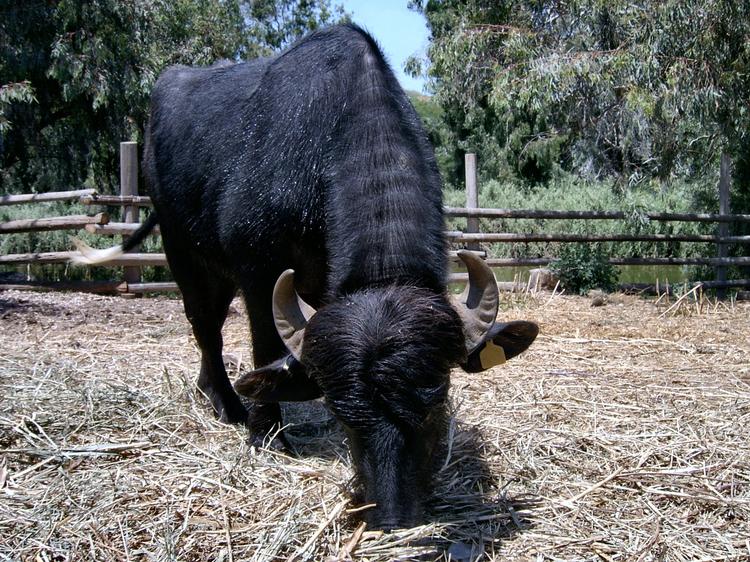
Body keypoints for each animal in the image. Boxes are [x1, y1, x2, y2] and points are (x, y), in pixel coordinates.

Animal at [73, 24, 536, 528]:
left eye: (436, 400)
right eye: (342, 413)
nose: (392, 516)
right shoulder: (259, 271)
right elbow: (265, 347)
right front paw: (267, 434)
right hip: (183, 253)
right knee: (206, 327)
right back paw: (228, 405)